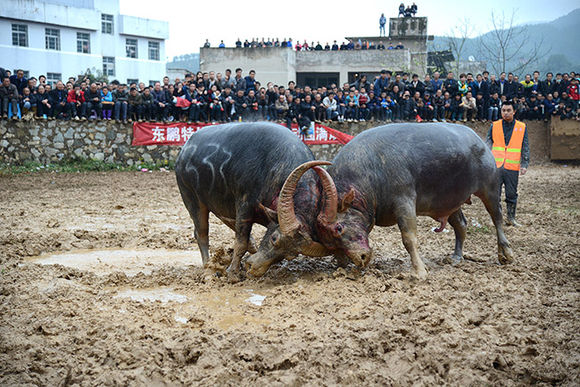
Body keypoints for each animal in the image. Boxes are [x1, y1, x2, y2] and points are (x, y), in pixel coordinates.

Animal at [174, 123, 330, 280]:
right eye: (274, 238)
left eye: (290, 255)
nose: (254, 268)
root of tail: (184, 151)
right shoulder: (244, 206)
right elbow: (240, 242)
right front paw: (232, 273)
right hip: (192, 199)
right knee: (201, 233)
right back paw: (208, 268)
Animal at [247, 123, 516, 278]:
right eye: (330, 243)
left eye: (339, 227)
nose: (362, 259)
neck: (372, 169)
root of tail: (480, 141)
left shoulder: (404, 201)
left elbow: (408, 238)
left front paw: (419, 272)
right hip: (450, 202)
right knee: (461, 224)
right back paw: (457, 256)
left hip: (490, 187)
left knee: (497, 217)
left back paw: (506, 253)